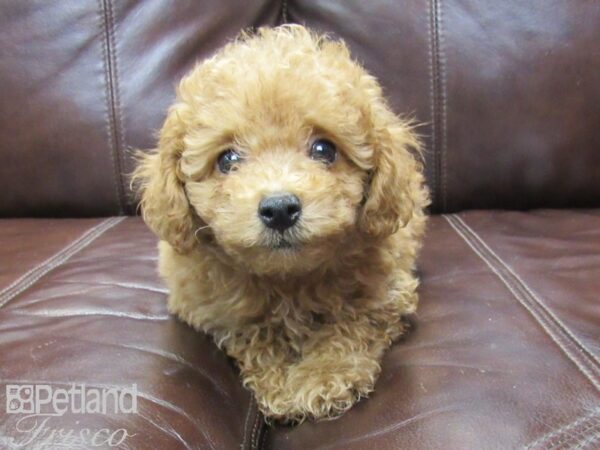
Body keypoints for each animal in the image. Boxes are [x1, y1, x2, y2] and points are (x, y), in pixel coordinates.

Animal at [134, 25, 428, 422]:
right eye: (227, 159)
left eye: (324, 150)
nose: (279, 209)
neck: (289, 278)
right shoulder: (212, 309)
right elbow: (254, 335)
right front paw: (278, 385)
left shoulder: (387, 294)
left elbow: (351, 325)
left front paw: (322, 377)